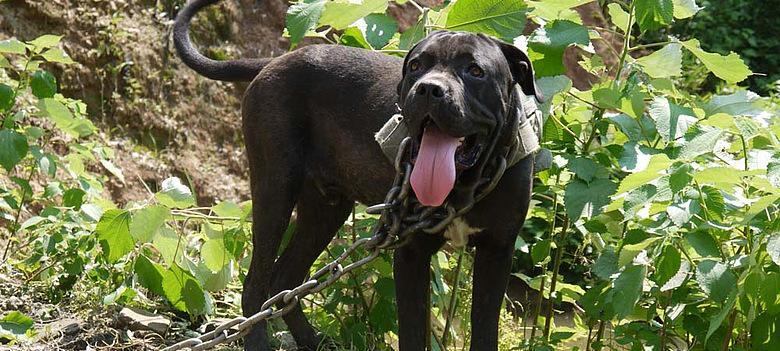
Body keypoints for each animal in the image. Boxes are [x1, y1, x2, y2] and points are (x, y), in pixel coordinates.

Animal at [175, 1, 544, 350]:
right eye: (416, 66)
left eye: (475, 70)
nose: (428, 89)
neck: (467, 184)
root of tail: (276, 60)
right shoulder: (411, 251)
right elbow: (413, 333)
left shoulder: (497, 252)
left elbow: (484, 332)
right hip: (275, 188)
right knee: (256, 285)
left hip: (325, 208)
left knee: (285, 280)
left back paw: (314, 341)